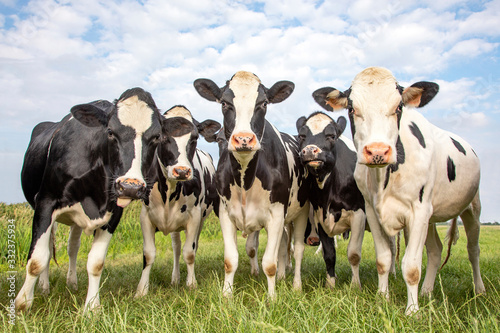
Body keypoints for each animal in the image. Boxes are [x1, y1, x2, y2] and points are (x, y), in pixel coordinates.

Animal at [15, 88, 161, 312]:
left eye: (156, 137)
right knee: (48, 248)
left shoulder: (113, 213)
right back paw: (44, 287)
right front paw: (22, 304)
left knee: (72, 247)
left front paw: (91, 307)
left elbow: (96, 262)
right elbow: (36, 259)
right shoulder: (45, 202)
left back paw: (72, 283)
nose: (130, 186)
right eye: (110, 132)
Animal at [134, 105, 220, 294]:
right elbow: (148, 253)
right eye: (161, 136)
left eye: (194, 137)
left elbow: (190, 252)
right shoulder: (145, 216)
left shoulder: (194, 216)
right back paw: (175, 278)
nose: (181, 171)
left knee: (191, 245)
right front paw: (142, 290)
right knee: (176, 248)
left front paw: (192, 284)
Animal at [193, 70, 310, 296]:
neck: (245, 180)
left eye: (263, 103)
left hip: (301, 211)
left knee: (298, 249)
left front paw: (272, 298)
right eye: (224, 103)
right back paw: (282, 276)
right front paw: (226, 295)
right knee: (284, 245)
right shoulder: (225, 213)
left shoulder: (277, 214)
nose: (244, 139)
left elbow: (270, 263)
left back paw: (297, 285)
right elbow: (231, 260)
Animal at [294, 112, 366, 288]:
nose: (309, 150)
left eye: (332, 136)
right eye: (301, 136)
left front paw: (355, 286)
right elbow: (329, 254)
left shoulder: (359, 214)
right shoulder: (321, 217)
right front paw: (330, 284)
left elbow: (353, 253)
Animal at [312, 67, 484, 314]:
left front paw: (412, 311)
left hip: (472, 209)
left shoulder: (418, 211)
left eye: (399, 107)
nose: (377, 151)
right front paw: (382, 298)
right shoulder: (372, 211)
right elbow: (383, 259)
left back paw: (478, 289)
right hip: (431, 217)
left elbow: (411, 267)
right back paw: (427, 291)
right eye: (352, 108)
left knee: (473, 249)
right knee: (435, 251)